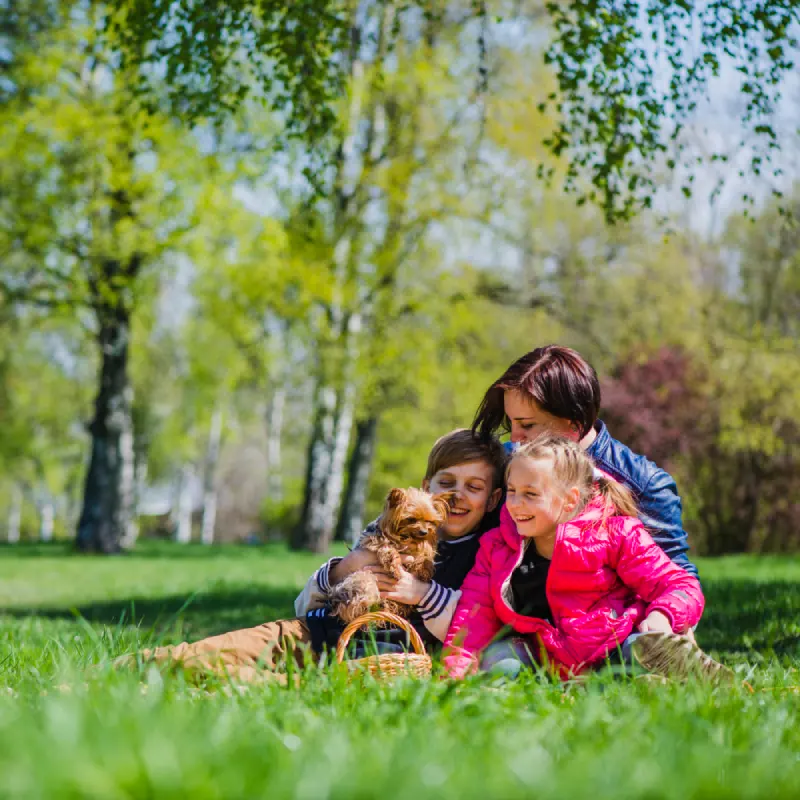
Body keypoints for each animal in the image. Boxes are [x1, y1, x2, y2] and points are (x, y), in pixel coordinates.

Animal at [326, 488, 450, 624]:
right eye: (411, 519)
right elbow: (389, 550)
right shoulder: (375, 540)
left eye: (430, 521)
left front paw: (424, 570)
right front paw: (395, 568)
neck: (406, 538)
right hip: (362, 578)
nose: (424, 532)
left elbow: (424, 557)